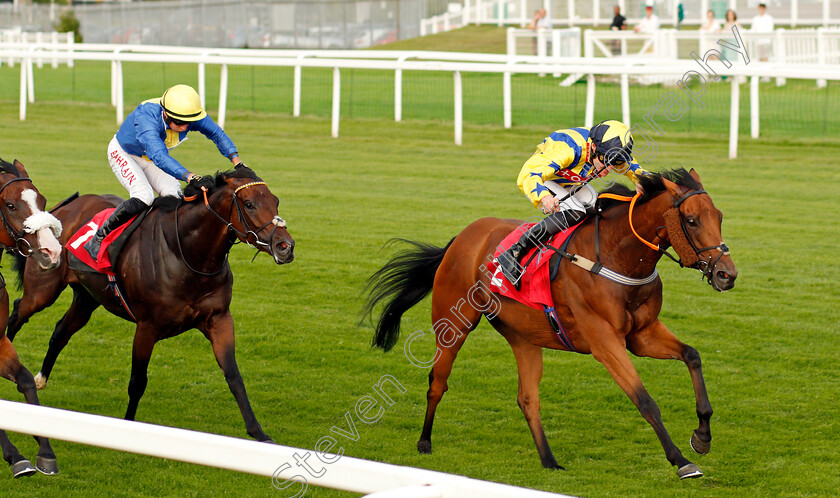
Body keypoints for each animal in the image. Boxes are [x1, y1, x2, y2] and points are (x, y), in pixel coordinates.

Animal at [6, 165, 294, 442]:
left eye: (276, 201)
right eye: (249, 204)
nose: (285, 246)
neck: (187, 253)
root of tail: (59, 208)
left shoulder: (219, 318)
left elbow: (234, 375)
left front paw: (259, 433)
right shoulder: (147, 327)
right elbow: (137, 381)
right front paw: (130, 427)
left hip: (88, 298)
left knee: (61, 331)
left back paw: (41, 378)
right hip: (43, 289)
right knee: (18, 312)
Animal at [364, 168, 740, 478]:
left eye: (719, 216)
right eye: (691, 219)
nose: (727, 274)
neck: (617, 255)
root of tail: (461, 237)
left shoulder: (642, 335)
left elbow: (692, 356)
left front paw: (702, 436)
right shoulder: (605, 342)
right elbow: (644, 400)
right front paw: (681, 461)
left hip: (523, 337)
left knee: (527, 398)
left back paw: (549, 459)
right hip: (453, 324)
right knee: (437, 382)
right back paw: (424, 442)